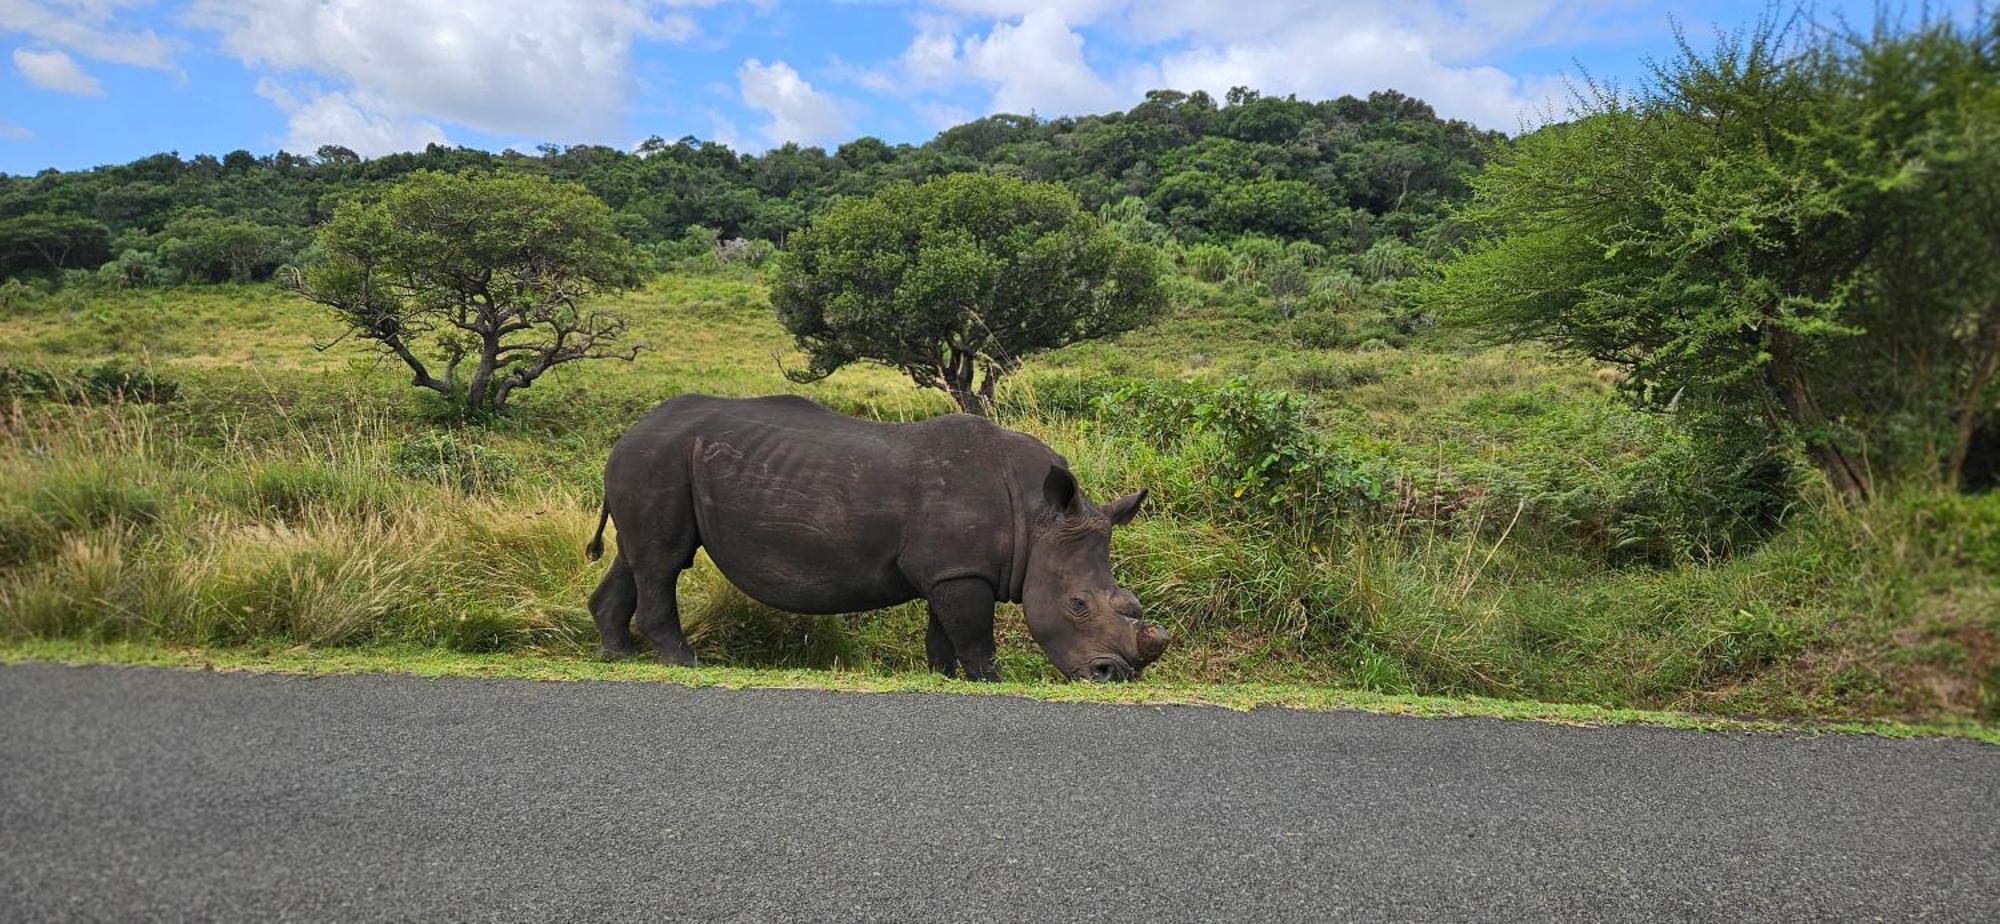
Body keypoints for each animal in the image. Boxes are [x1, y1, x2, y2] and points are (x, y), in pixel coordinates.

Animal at [584, 394, 1168, 684]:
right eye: (1077, 604)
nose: (1113, 676)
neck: (1037, 514)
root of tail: (629, 430)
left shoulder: (951, 567)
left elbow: (943, 629)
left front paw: (944, 677)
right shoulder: (961, 571)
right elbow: (973, 631)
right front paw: (990, 680)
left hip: (655, 460)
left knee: (635, 558)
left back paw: (617, 656)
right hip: (658, 458)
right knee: (662, 561)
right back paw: (683, 663)